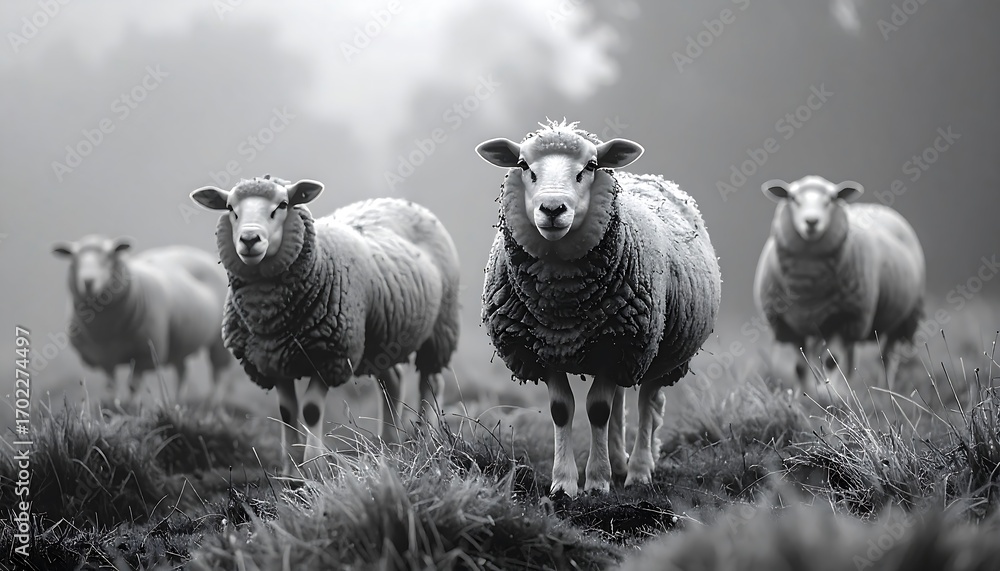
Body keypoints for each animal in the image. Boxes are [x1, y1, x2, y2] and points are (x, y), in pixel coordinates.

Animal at [51, 235, 234, 398]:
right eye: (74, 258)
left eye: (109, 256)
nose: (88, 281)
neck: (107, 331)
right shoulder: (103, 358)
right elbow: (111, 386)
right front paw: (112, 407)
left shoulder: (144, 355)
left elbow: (132, 386)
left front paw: (131, 409)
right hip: (179, 343)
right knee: (182, 373)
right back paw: (177, 403)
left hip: (219, 341)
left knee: (219, 374)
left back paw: (214, 404)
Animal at [189, 175, 460, 476]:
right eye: (230, 208)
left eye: (283, 204)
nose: (249, 239)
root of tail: (401, 202)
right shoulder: (272, 360)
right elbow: (287, 412)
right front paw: (290, 469)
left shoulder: (330, 355)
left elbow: (310, 410)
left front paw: (313, 467)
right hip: (380, 337)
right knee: (393, 382)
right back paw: (389, 446)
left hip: (440, 327)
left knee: (431, 382)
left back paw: (425, 440)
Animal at [476, 119, 721, 495]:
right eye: (522, 164)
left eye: (590, 166)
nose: (552, 209)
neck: (562, 304)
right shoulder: (545, 347)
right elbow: (563, 410)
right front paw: (563, 483)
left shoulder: (620, 343)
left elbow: (598, 410)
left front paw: (596, 481)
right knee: (622, 400)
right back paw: (619, 462)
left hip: (657, 345)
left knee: (648, 401)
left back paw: (638, 471)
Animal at [753, 175, 925, 397]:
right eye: (793, 198)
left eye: (831, 199)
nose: (811, 222)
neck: (808, 289)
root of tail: (876, 207)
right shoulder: (787, 325)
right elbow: (799, 367)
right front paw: (802, 396)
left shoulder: (842, 317)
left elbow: (830, 360)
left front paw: (830, 395)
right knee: (851, 358)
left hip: (904, 318)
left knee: (887, 358)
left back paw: (885, 391)